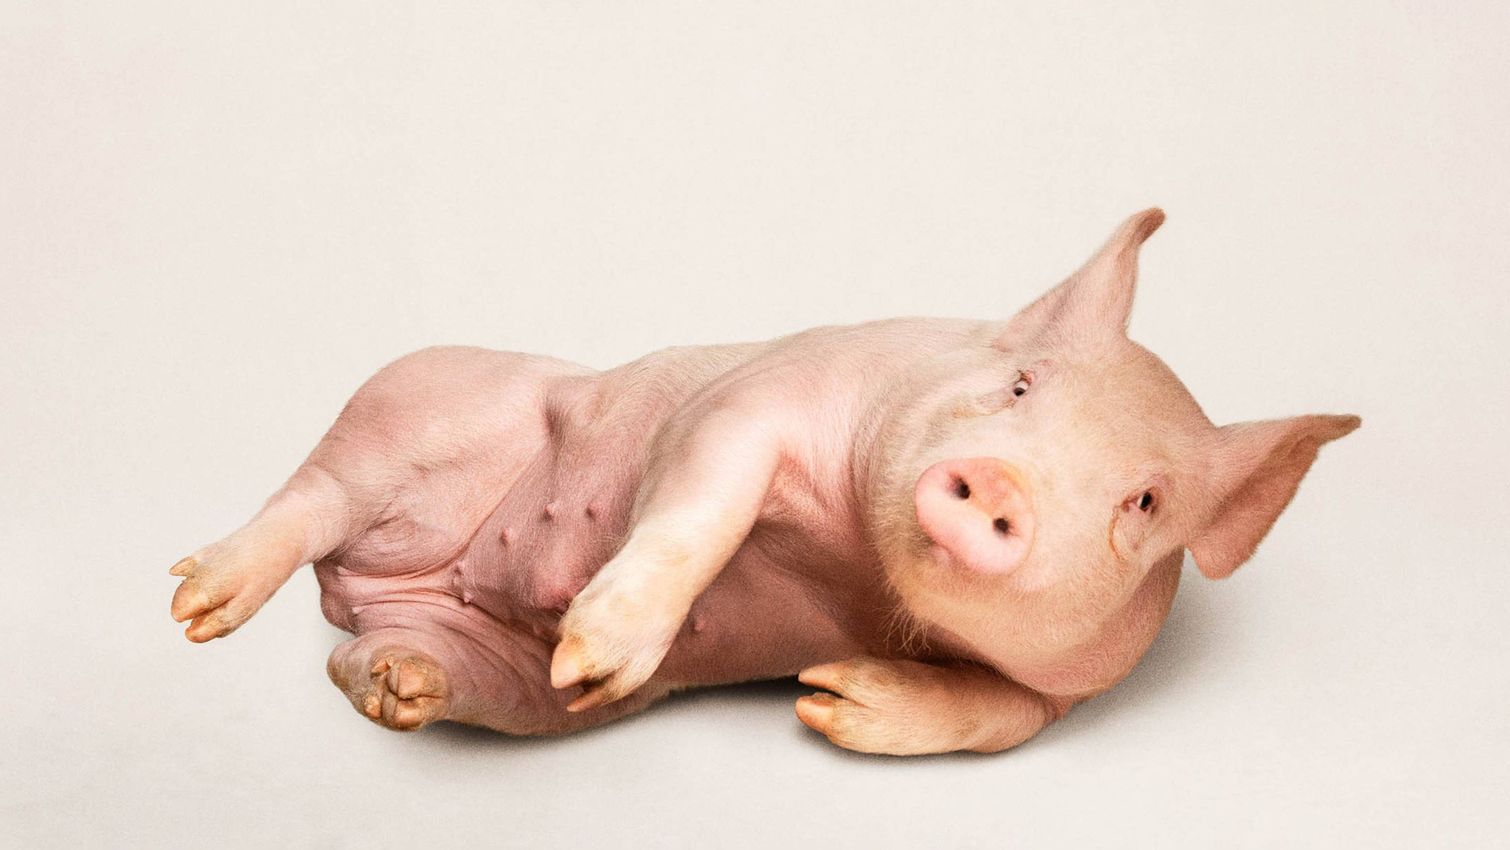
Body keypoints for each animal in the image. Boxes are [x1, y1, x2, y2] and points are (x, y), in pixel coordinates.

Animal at [168, 209, 1359, 755]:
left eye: (1142, 502)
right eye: (1019, 386)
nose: (997, 484)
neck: (861, 574)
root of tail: (368, 592)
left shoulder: (1079, 681)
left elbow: (1001, 718)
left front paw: (828, 704)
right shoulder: (765, 394)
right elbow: (709, 491)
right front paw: (597, 644)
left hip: (488, 675)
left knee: (391, 674)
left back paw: (406, 683)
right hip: (416, 404)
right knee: (315, 496)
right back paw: (196, 605)